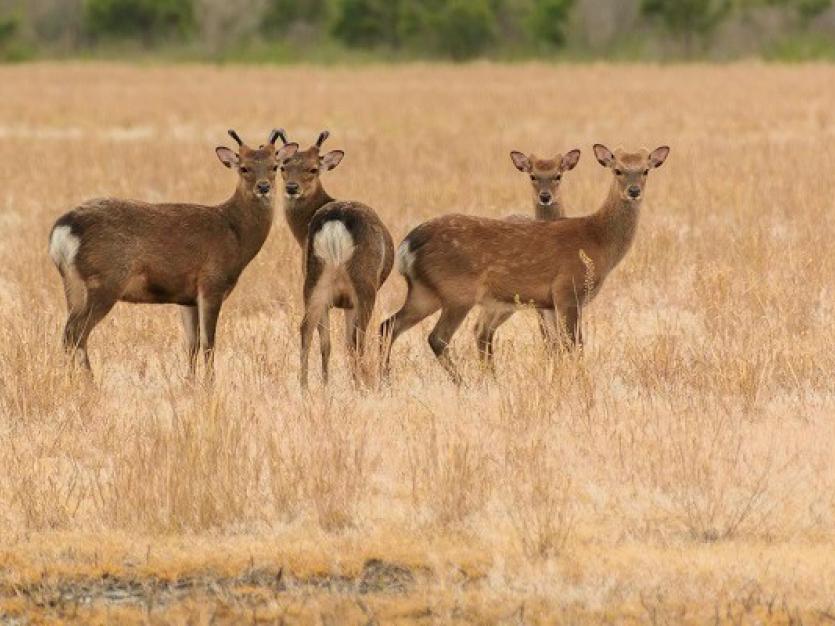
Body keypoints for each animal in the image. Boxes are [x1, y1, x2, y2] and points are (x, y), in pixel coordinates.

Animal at [48, 129, 299, 379]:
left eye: (275, 166)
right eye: (244, 168)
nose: (263, 187)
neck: (236, 235)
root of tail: (63, 230)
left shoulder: (187, 297)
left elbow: (192, 344)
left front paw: (190, 381)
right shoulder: (211, 284)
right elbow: (209, 343)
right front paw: (210, 382)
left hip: (73, 284)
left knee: (68, 331)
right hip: (105, 280)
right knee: (77, 332)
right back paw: (90, 381)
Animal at [276, 130, 394, 388]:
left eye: (312, 168)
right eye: (283, 167)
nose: (291, 187)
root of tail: (334, 220)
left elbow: (331, 343)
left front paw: (327, 383)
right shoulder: (351, 301)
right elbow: (348, 342)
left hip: (314, 279)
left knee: (306, 328)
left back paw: (305, 386)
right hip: (364, 282)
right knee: (358, 338)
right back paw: (364, 384)